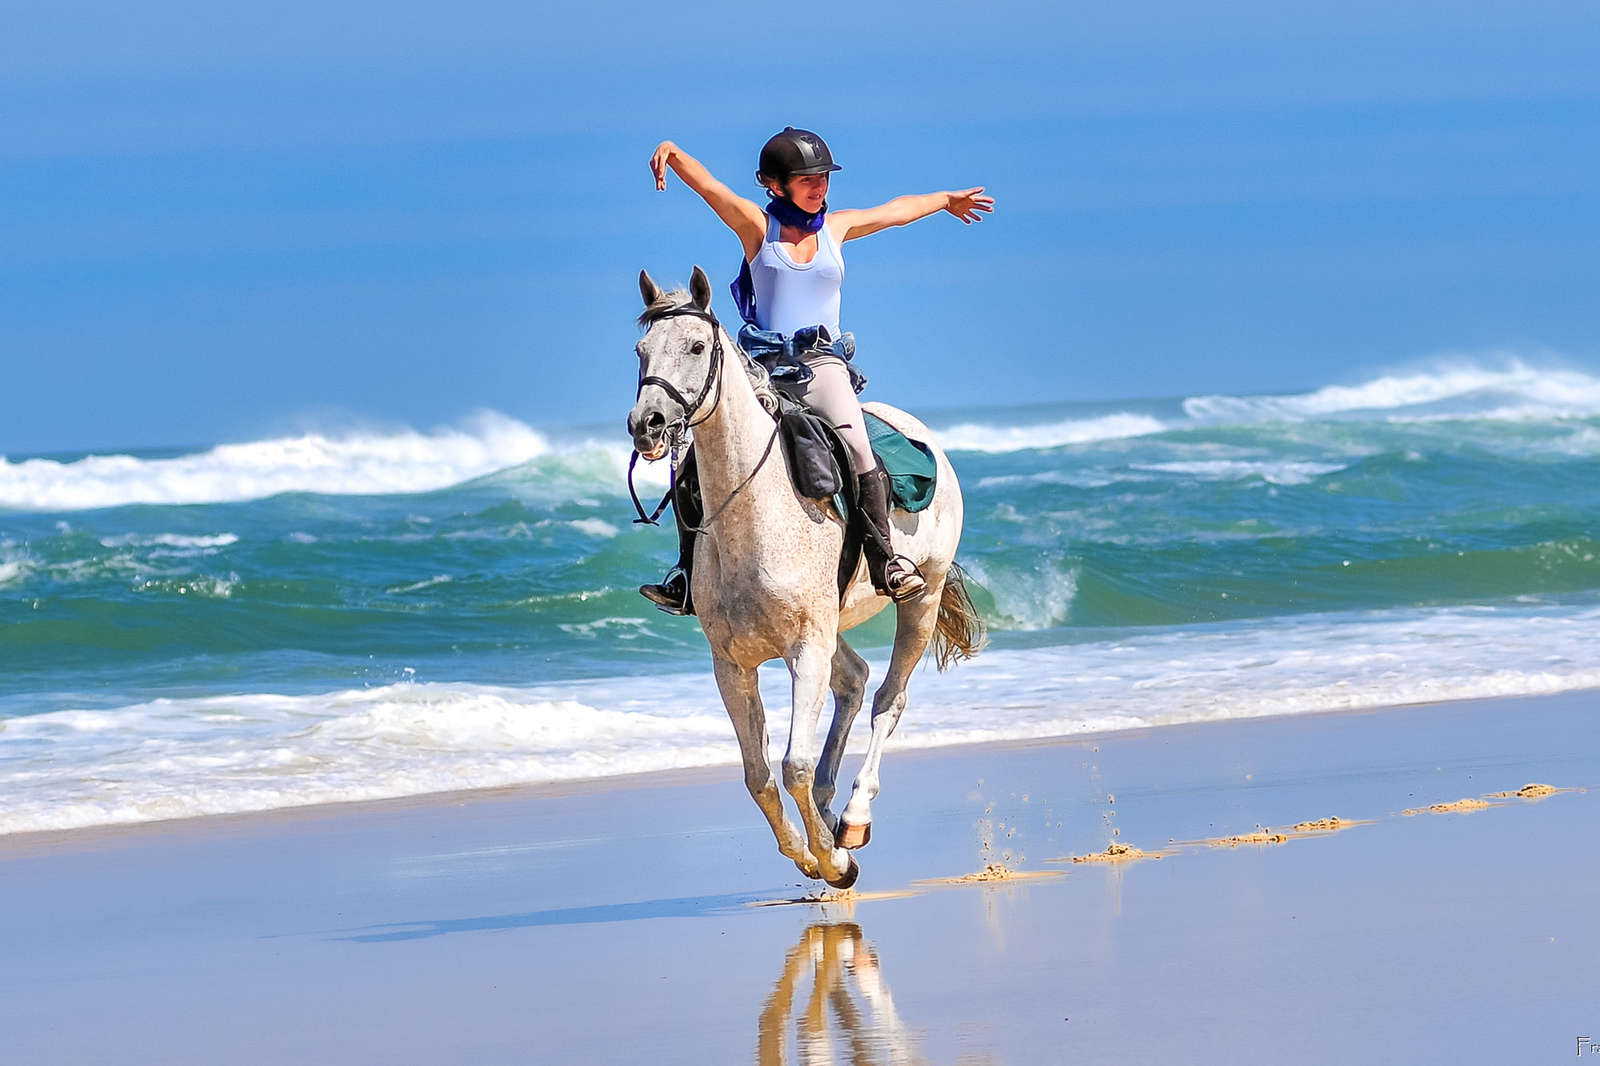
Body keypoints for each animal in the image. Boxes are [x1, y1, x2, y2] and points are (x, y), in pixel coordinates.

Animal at [627, 266, 984, 888]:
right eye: (640, 352)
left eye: (695, 347)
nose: (646, 425)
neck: (753, 511)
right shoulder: (732, 664)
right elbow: (758, 776)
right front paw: (807, 851)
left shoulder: (804, 650)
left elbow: (791, 764)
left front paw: (835, 860)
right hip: (833, 622)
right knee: (855, 681)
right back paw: (828, 808)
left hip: (921, 599)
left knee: (888, 699)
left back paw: (853, 818)